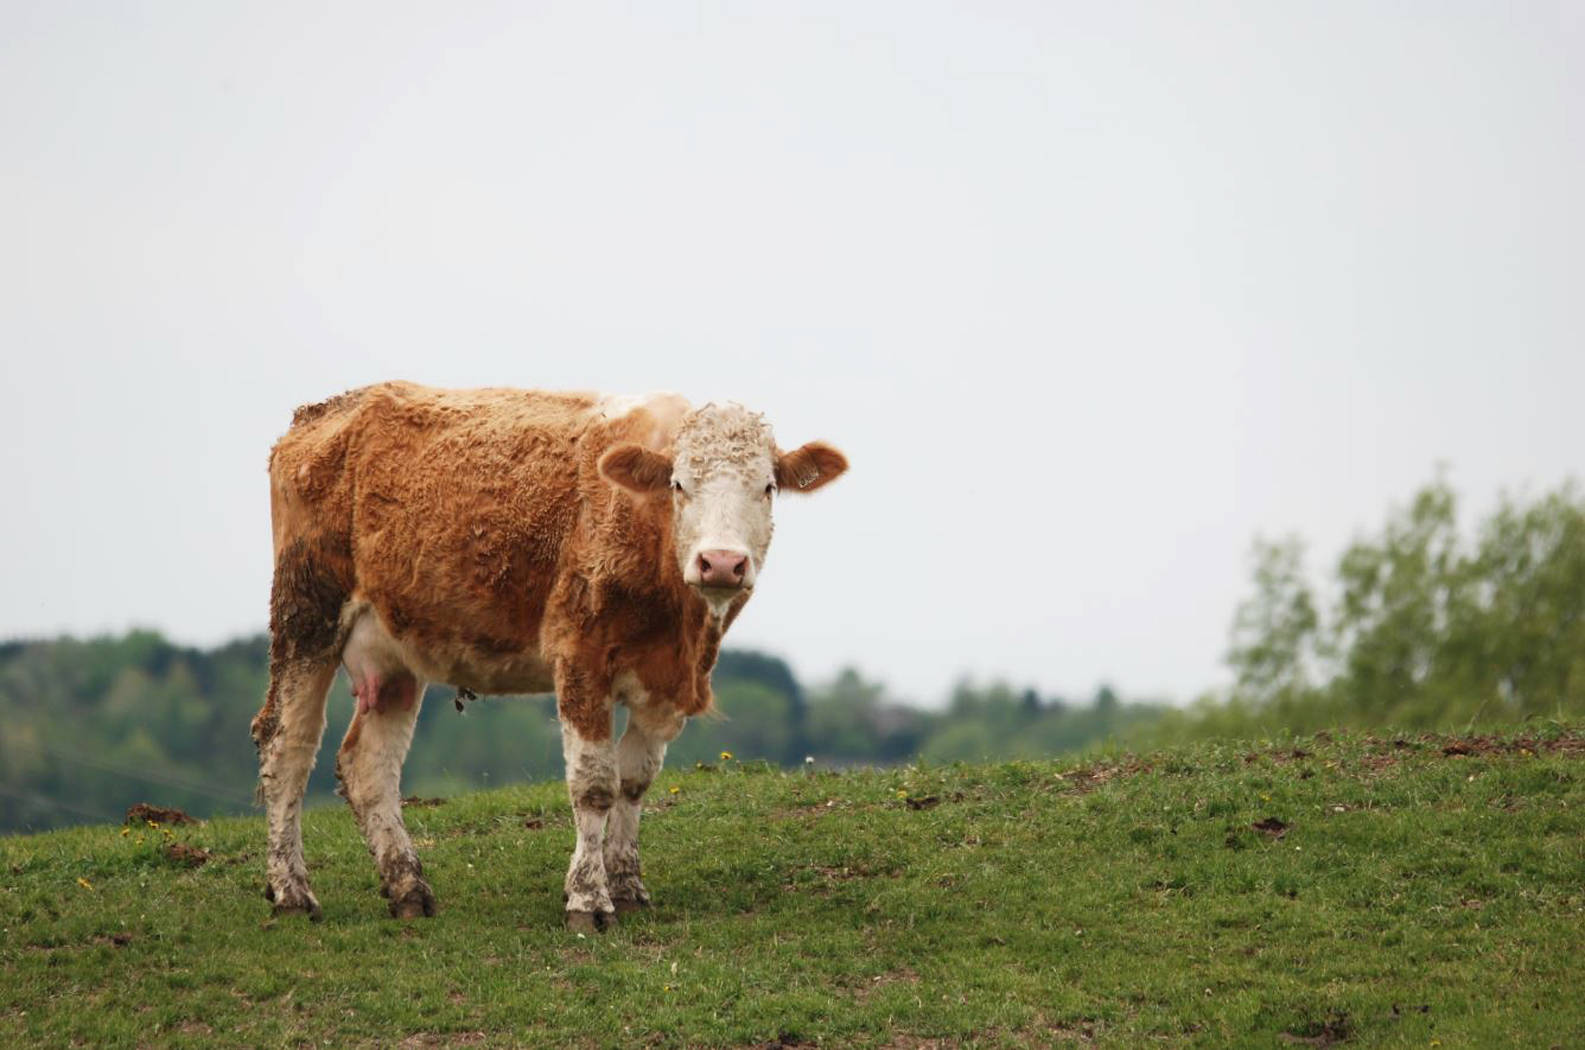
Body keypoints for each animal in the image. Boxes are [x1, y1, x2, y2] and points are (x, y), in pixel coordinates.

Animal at [247, 382, 843, 932]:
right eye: (679, 484)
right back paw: (292, 890)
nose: (721, 562)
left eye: (767, 487)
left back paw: (409, 888)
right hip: (307, 613)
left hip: (394, 650)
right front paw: (588, 899)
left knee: (368, 765)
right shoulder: (580, 656)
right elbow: (595, 784)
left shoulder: (667, 683)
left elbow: (635, 779)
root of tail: (327, 410)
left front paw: (627, 884)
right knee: (286, 745)